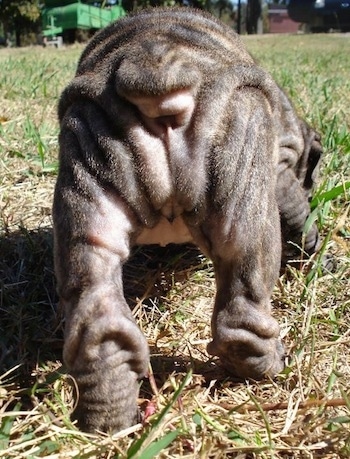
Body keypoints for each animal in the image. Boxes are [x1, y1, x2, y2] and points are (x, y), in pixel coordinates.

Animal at [54, 7, 322, 434]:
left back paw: (111, 418)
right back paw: (268, 367)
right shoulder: (279, 163)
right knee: (243, 302)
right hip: (242, 162)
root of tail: (156, 72)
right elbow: (300, 217)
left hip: (87, 172)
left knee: (98, 319)